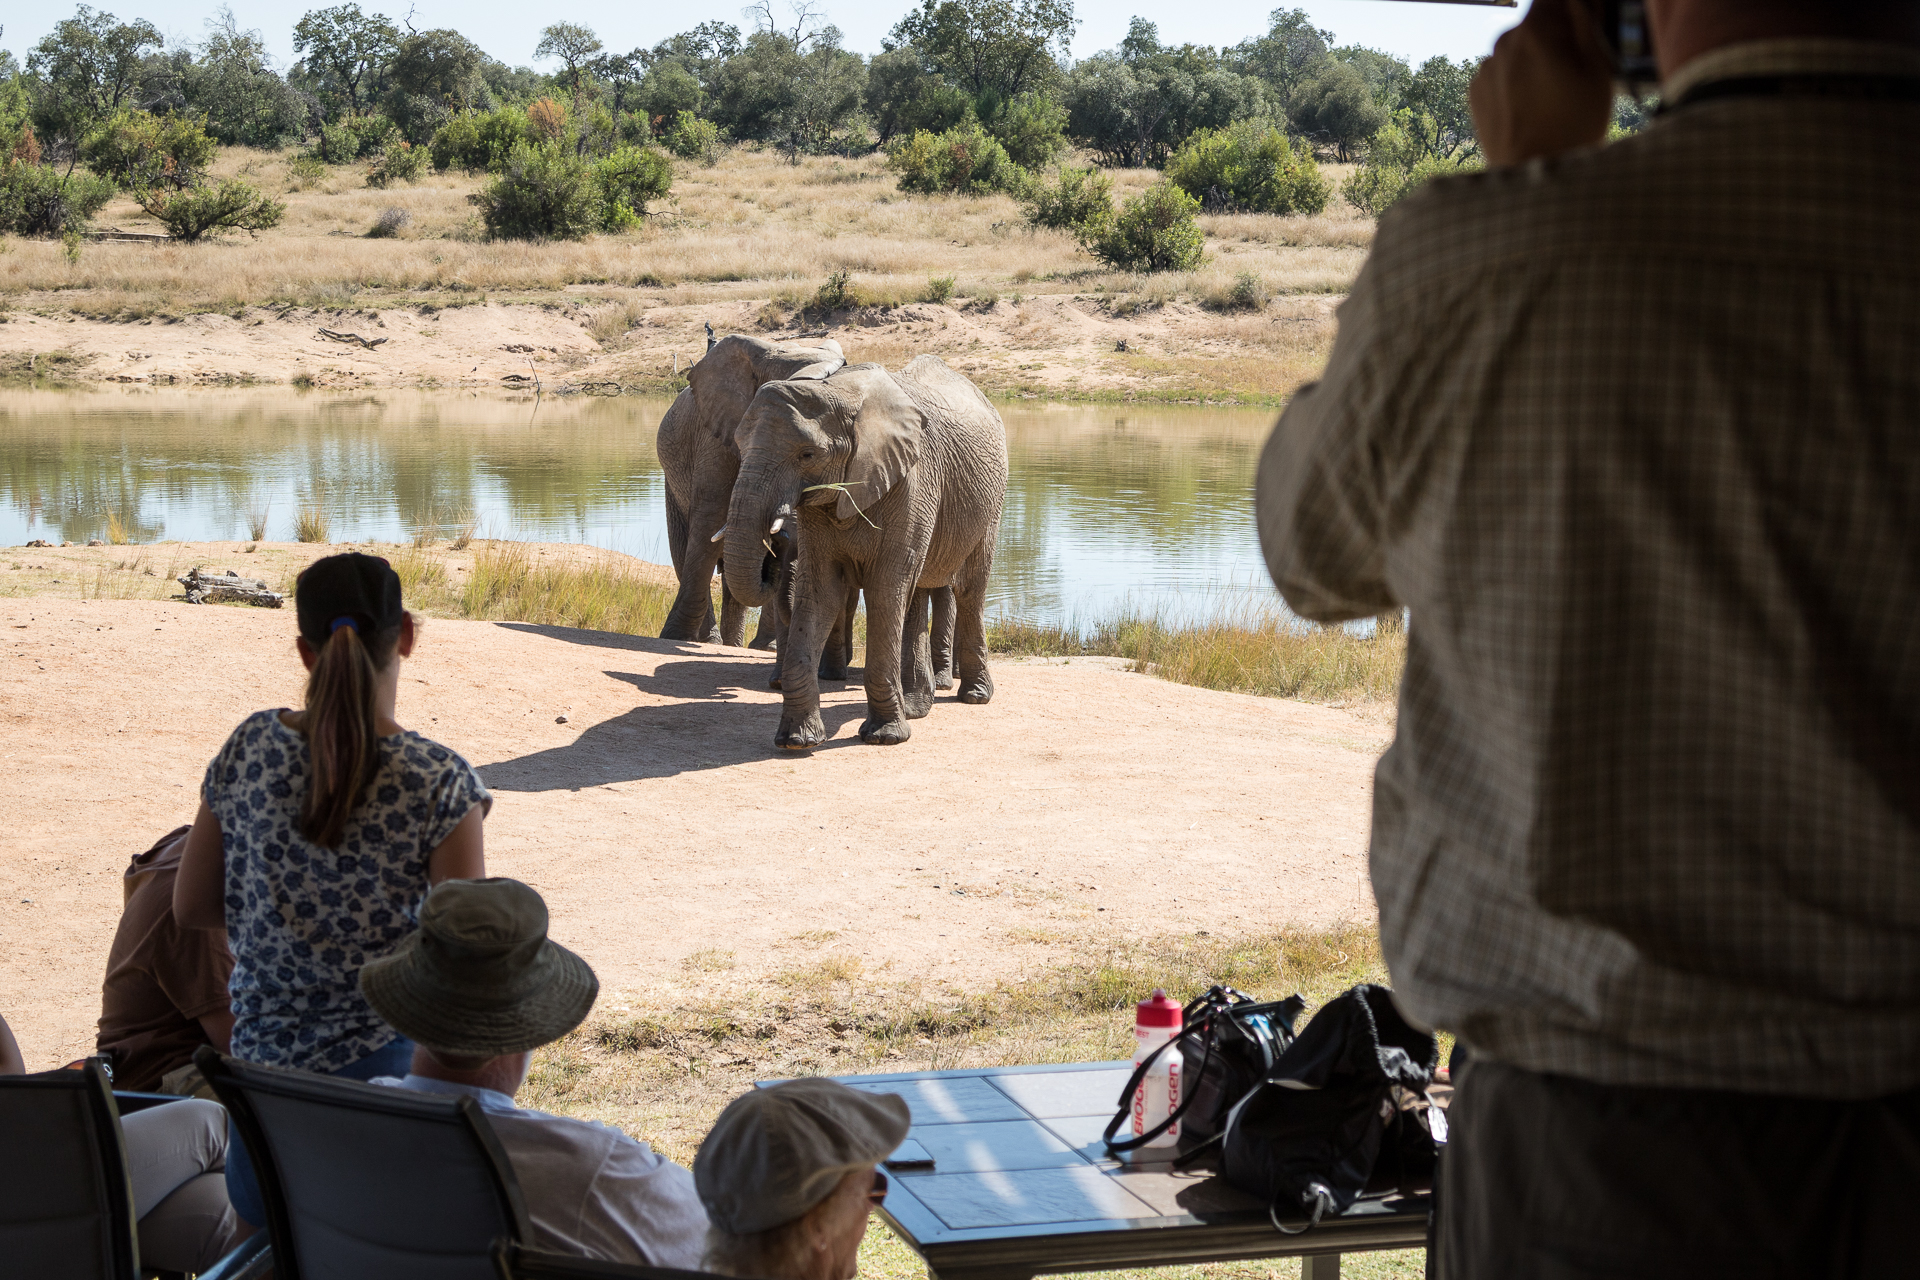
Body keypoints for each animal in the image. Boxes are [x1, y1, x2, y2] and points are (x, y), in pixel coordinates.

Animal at [660, 335, 840, 644]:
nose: (780, 536)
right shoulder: (715, 437)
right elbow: (709, 521)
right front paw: (674, 638)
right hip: (671, 479)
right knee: (685, 549)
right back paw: (710, 641)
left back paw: (745, 645)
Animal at [721, 355, 1013, 744]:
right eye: (739, 446)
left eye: (807, 455)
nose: (776, 545)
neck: (840, 392)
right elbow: (821, 591)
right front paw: (797, 739)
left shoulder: (911, 481)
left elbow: (884, 591)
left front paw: (885, 736)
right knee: (915, 592)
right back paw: (917, 706)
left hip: (990, 501)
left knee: (968, 589)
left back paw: (975, 696)